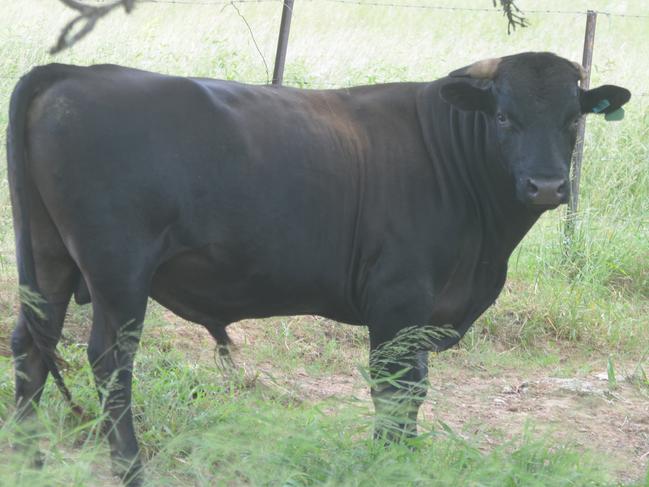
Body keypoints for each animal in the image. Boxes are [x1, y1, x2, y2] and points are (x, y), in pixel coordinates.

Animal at [7, 51, 632, 486]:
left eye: (574, 119)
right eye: (503, 117)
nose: (547, 186)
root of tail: (72, 72)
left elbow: (413, 391)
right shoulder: (399, 301)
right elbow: (397, 390)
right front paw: (390, 460)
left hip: (48, 259)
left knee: (31, 345)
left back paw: (26, 453)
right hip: (118, 271)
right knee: (109, 360)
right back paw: (130, 467)